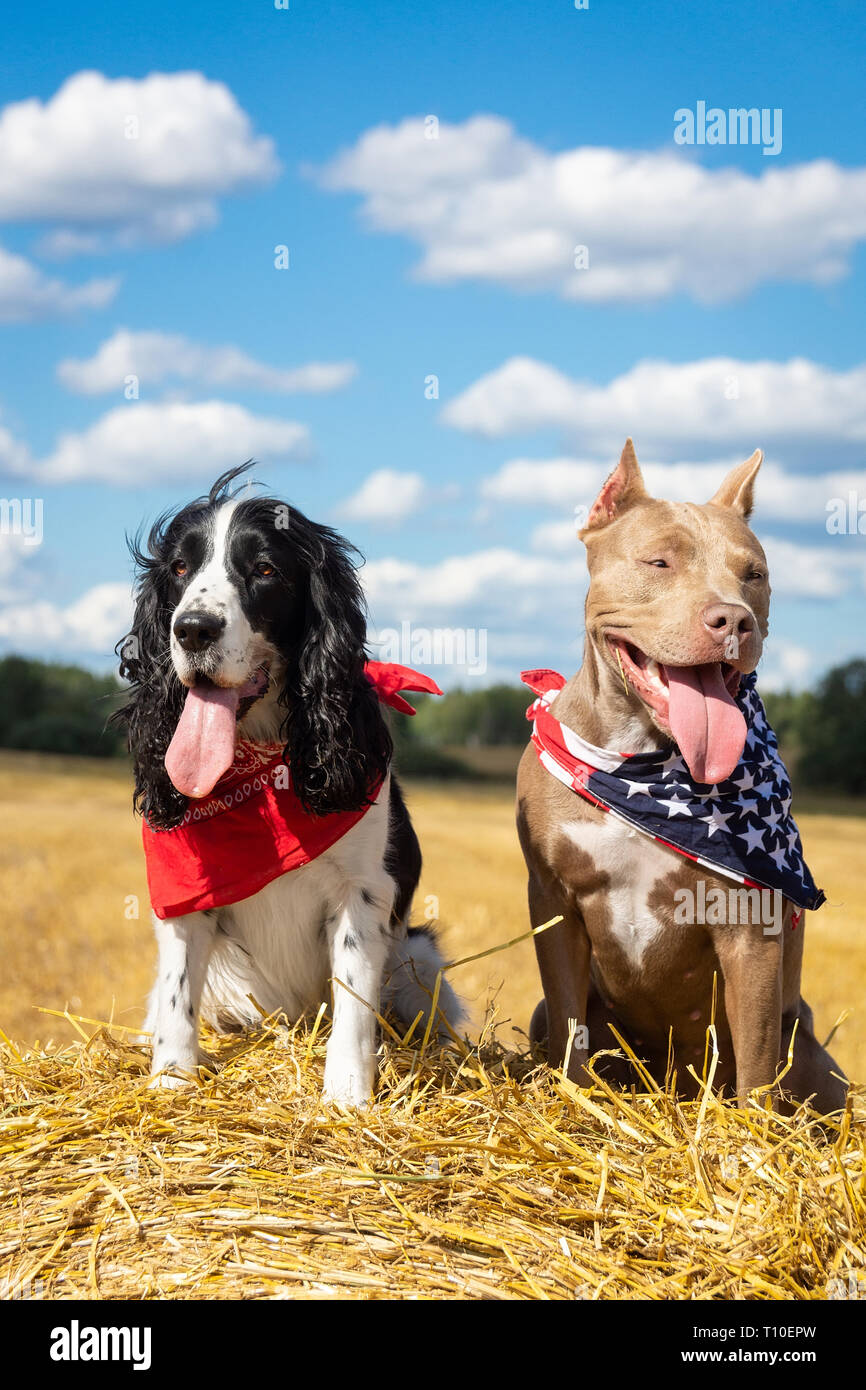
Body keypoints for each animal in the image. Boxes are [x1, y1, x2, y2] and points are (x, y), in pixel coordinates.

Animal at [120, 467, 467, 1106]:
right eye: (179, 568)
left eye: (264, 570)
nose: (193, 629)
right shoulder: (184, 893)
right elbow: (178, 993)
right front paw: (171, 1081)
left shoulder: (362, 892)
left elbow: (353, 999)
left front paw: (346, 1096)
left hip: (419, 956)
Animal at [517, 439, 850, 1112]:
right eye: (659, 561)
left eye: (755, 573)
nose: (733, 620)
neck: (643, 758)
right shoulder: (553, 900)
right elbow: (569, 1023)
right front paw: (575, 1100)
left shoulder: (750, 924)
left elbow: (755, 1064)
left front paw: (752, 1134)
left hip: (813, 1055)